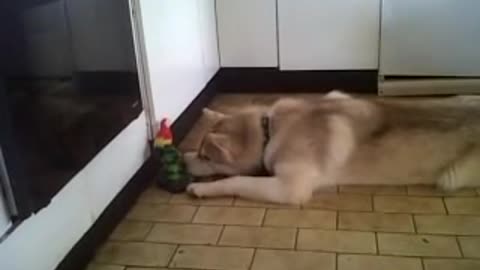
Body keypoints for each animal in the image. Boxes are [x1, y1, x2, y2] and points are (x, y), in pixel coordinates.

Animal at [183, 90, 480, 205]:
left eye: (205, 156)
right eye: (197, 149)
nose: (182, 160)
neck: (271, 129)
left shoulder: (290, 188)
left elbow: (236, 180)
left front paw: (202, 188)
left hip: (454, 176)